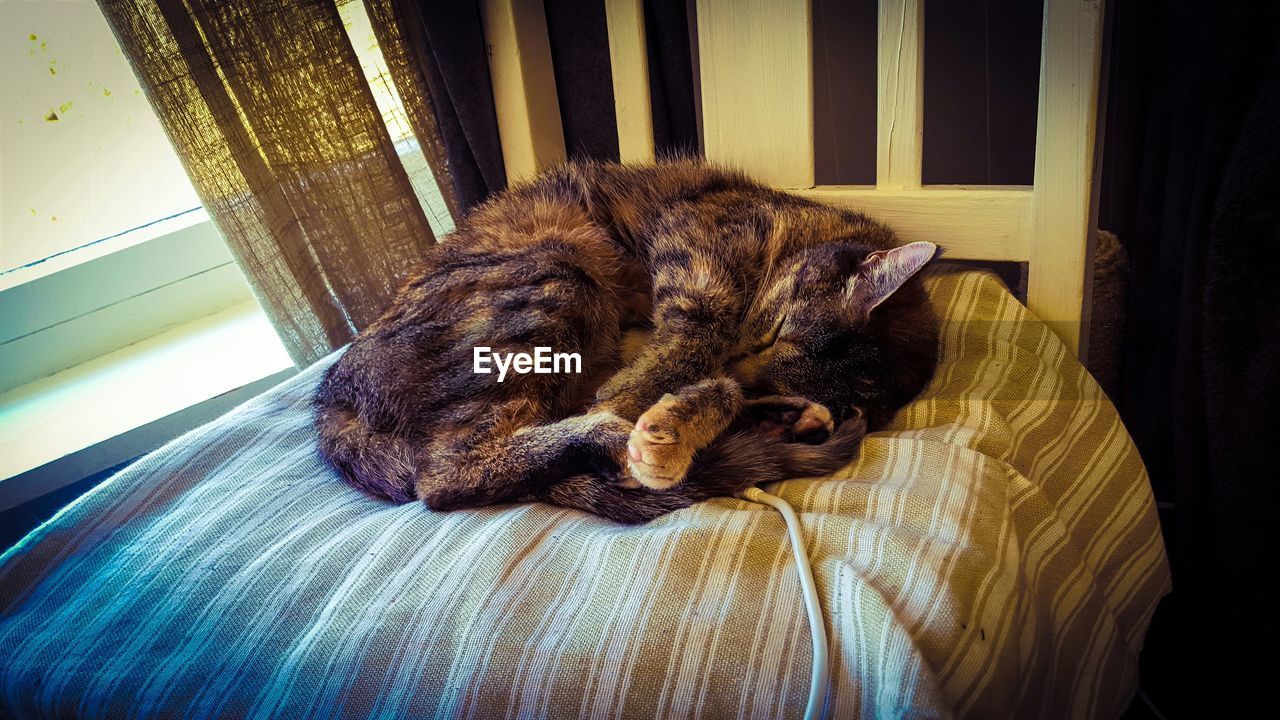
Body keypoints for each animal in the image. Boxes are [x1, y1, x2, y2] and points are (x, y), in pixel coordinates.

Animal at [313, 159, 942, 520]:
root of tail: (331, 396)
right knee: (443, 474)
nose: (743, 373)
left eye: (774, 348)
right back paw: (612, 433)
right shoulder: (691, 258)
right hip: (558, 269)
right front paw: (637, 408)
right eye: (775, 330)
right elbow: (697, 335)